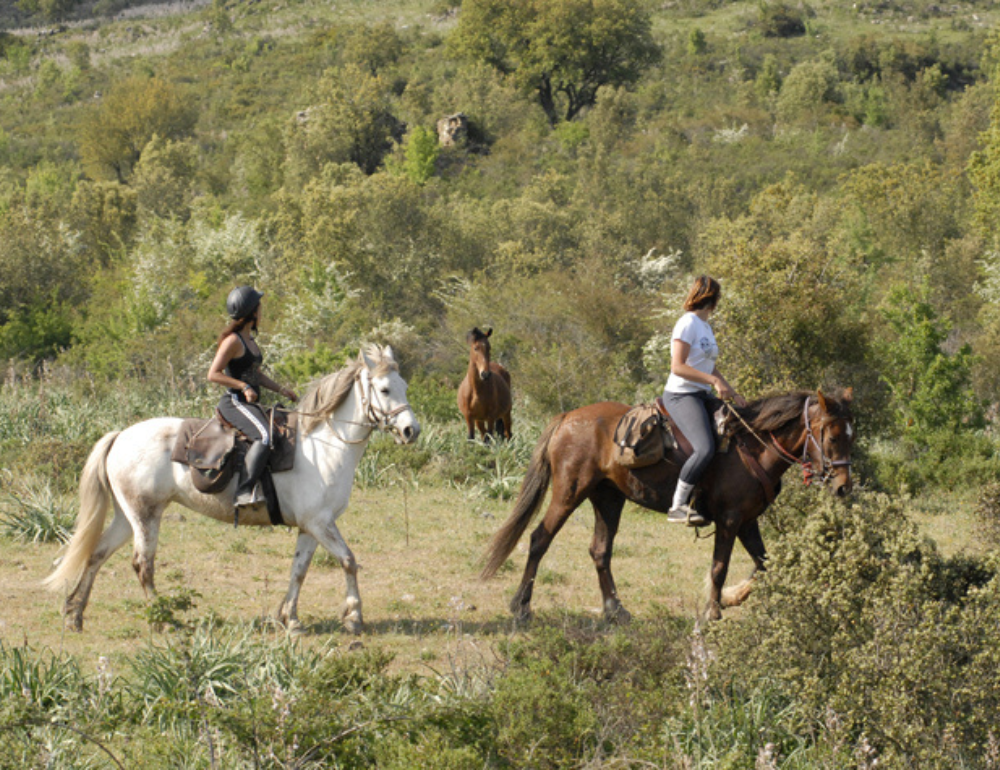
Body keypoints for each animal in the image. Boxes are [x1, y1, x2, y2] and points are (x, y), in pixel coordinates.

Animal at [45, 344, 420, 632]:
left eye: (403, 385)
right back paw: (162, 619)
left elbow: (299, 571)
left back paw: (74, 615)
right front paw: (354, 617)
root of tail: (121, 435)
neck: (324, 445)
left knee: (97, 554)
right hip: (146, 516)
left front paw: (290, 618)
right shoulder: (320, 522)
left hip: (127, 517)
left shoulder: (311, 526)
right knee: (142, 564)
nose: (410, 431)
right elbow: (348, 561)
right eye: (384, 390)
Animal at [480, 388, 856, 620]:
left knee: (600, 550)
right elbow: (719, 567)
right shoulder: (730, 520)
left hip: (608, 498)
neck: (754, 446)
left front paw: (732, 597)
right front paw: (714, 609)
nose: (843, 487)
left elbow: (766, 566)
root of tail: (568, 416)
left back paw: (615, 609)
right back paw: (522, 606)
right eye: (833, 437)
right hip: (569, 492)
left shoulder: (748, 522)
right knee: (539, 539)